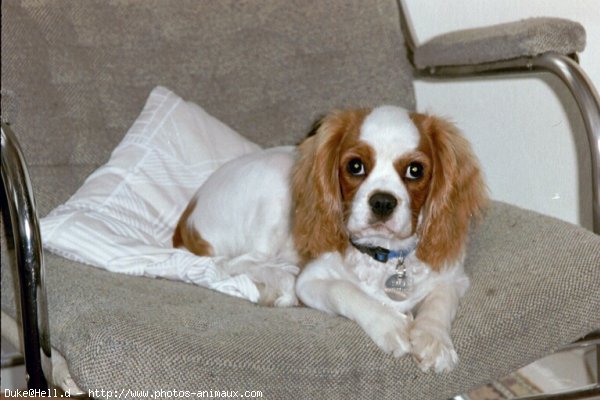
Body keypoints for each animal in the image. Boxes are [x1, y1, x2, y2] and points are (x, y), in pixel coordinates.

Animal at [173, 106, 488, 372]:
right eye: (355, 166)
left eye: (415, 170)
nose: (383, 202)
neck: (384, 255)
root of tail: (187, 217)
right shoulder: (312, 280)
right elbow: (344, 291)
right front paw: (389, 324)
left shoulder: (453, 278)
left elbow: (440, 303)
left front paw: (434, 341)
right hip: (277, 184)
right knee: (234, 263)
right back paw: (280, 283)